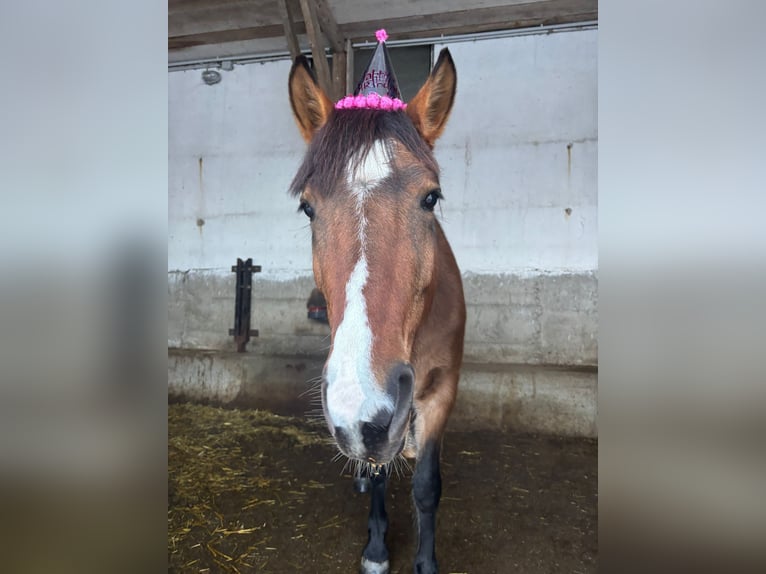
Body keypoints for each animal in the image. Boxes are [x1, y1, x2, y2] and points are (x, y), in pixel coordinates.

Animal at [288, 48, 465, 574]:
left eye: (431, 197)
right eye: (308, 208)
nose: (358, 404)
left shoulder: (441, 390)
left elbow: (427, 485)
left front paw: (425, 562)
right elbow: (380, 470)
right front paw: (377, 548)